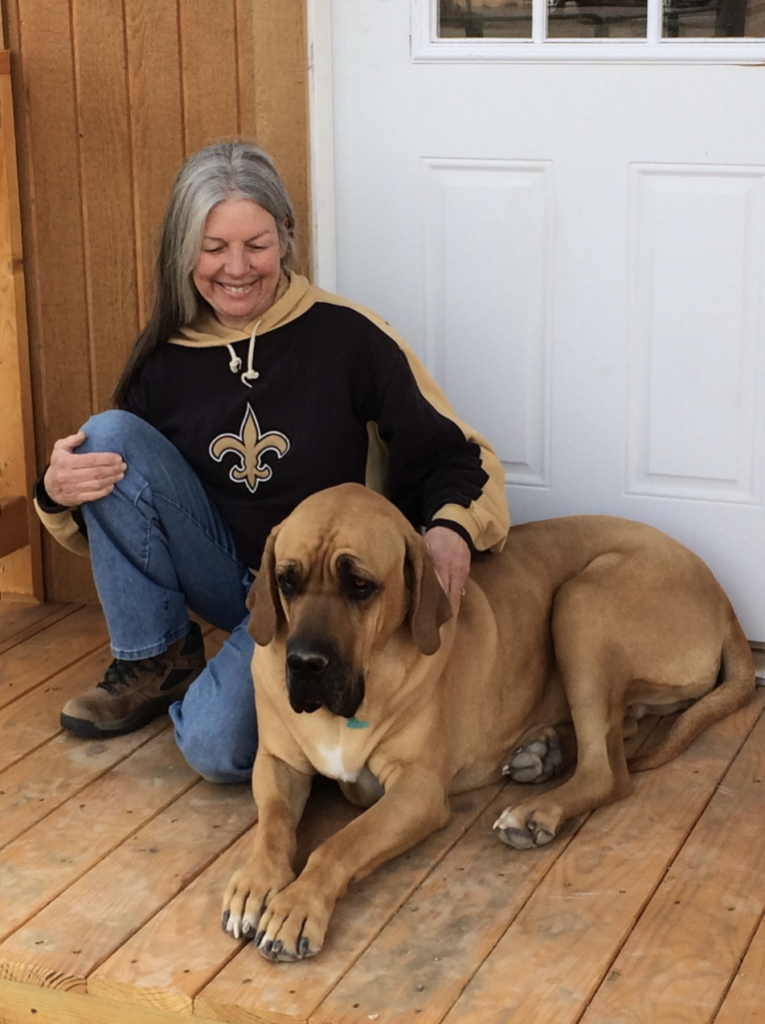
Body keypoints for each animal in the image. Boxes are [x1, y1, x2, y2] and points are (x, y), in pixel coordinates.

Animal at [221, 481, 753, 958]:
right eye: (286, 581)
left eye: (360, 586)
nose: (305, 664)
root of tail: (723, 596)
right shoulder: (277, 763)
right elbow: (272, 822)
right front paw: (256, 882)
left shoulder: (417, 790)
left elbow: (340, 843)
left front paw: (297, 904)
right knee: (619, 728)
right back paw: (541, 754)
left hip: (582, 601)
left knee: (609, 770)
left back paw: (535, 811)